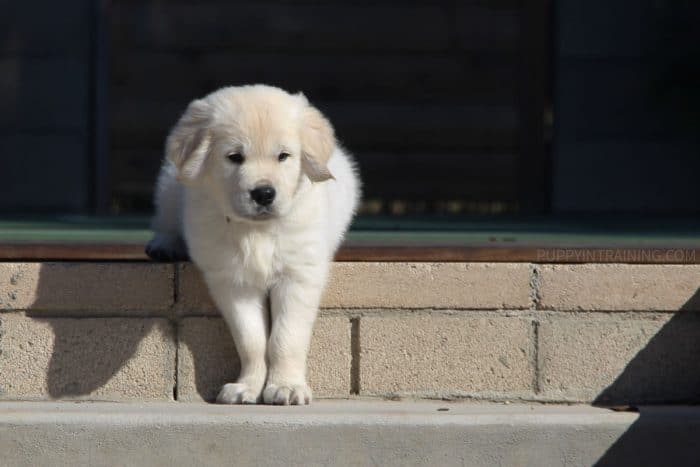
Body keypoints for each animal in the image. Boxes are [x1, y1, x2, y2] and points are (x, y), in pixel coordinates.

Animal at [144, 85, 358, 406]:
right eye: (235, 157)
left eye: (283, 156)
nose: (264, 193)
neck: (257, 231)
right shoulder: (233, 282)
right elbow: (251, 340)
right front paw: (247, 386)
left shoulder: (298, 276)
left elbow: (286, 337)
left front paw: (286, 386)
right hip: (171, 185)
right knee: (166, 217)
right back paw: (164, 243)